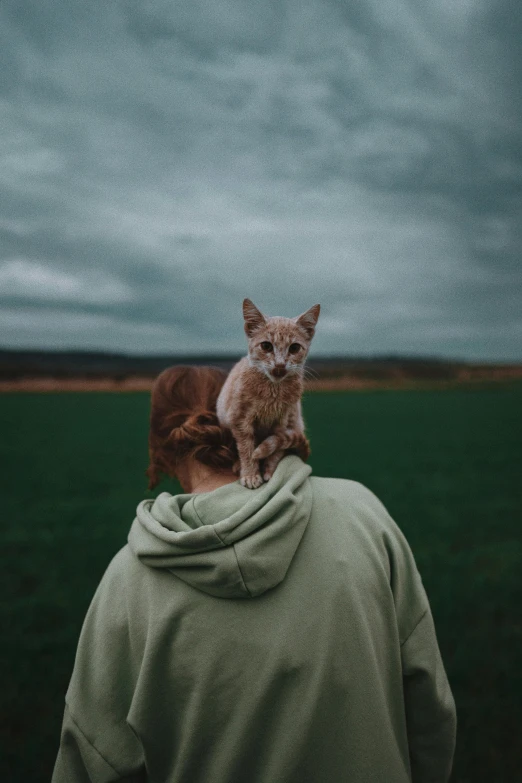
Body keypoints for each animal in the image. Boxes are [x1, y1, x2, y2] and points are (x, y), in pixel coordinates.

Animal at [214, 298, 316, 486]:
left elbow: (276, 449)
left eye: (294, 348)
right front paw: (250, 474)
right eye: (266, 346)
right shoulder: (239, 420)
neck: (272, 392)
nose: (280, 365)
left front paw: (270, 470)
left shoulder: (282, 421)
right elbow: (246, 448)